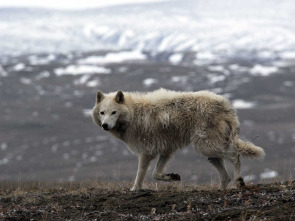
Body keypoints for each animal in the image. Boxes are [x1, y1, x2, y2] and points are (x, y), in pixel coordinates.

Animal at [91, 88, 264, 190]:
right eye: (102, 113)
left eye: (113, 112)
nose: (105, 125)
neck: (133, 115)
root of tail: (226, 105)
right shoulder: (166, 150)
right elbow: (156, 174)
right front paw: (172, 177)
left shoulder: (146, 153)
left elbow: (141, 174)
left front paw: (135, 190)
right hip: (210, 152)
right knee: (225, 176)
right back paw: (220, 190)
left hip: (207, 147)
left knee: (235, 156)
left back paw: (239, 181)